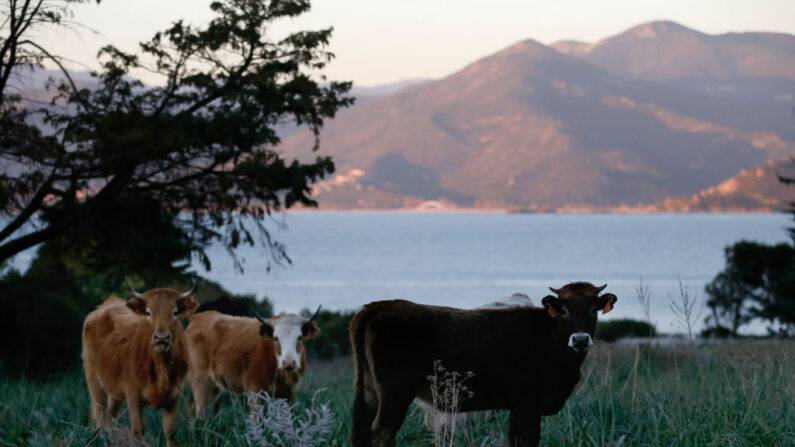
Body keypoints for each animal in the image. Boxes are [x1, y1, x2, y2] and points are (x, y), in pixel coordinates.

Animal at [81, 278, 199, 446]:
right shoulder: (133, 397)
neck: (161, 368)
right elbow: (138, 431)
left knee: (110, 419)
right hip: (94, 383)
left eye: (175, 312)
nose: (161, 338)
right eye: (148, 312)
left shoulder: (174, 397)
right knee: (100, 418)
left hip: (115, 393)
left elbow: (170, 432)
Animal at [352, 282, 620, 446]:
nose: (580, 339)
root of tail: (381, 305)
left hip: (369, 389)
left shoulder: (516, 406)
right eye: (563, 310)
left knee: (362, 430)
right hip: (395, 392)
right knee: (383, 432)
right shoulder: (528, 403)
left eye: (594, 309)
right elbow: (527, 440)